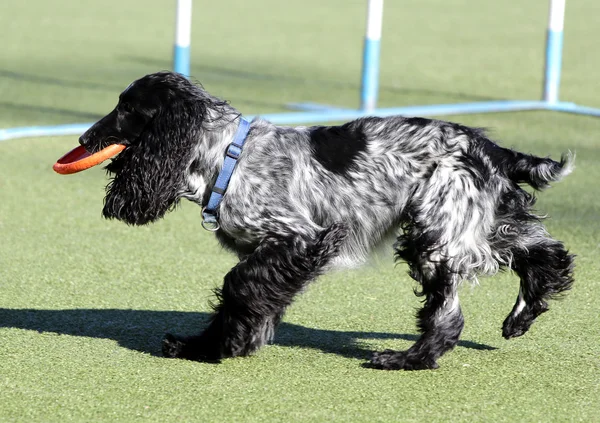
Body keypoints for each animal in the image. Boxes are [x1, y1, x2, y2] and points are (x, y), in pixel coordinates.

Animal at [77, 71, 576, 370]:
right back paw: (524, 312)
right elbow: (256, 297)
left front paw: (212, 347)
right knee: (544, 250)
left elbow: (239, 288)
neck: (227, 155)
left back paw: (406, 359)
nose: (83, 138)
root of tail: (491, 148)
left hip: (435, 232)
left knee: (448, 315)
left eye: (126, 109)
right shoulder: (274, 252)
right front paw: (234, 341)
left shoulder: (301, 238)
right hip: (474, 220)